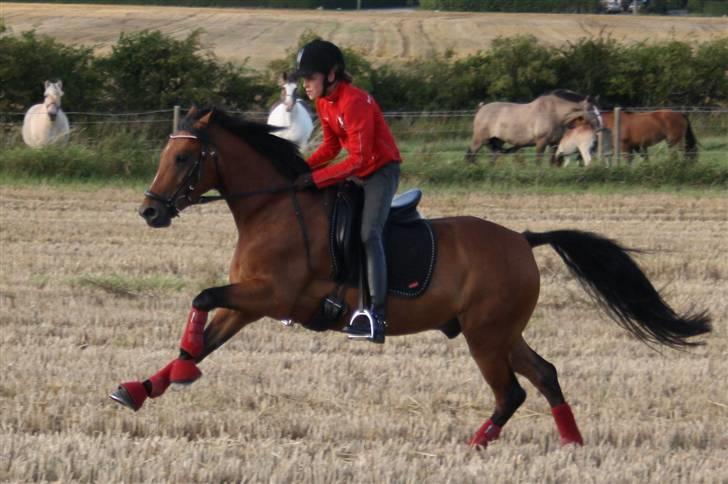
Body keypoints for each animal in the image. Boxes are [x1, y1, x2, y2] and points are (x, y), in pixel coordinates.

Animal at [110, 107, 711, 449]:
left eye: (183, 158)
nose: (149, 211)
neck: (273, 207)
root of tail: (522, 239)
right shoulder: (249, 303)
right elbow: (202, 339)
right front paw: (142, 388)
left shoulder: (267, 295)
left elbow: (201, 297)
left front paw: (167, 378)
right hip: (500, 331)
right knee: (545, 374)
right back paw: (573, 443)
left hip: (485, 336)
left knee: (513, 391)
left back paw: (476, 445)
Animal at [465, 90, 598, 165]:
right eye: (591, 109)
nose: (599, 126)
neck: (553, 112)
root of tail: (481, 108)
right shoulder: (541, 142)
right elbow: (538, 161)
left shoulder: (554, 144)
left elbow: (552, 162)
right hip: (479, 140)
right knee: (470, 156)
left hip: (497, 141)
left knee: (492, 159)